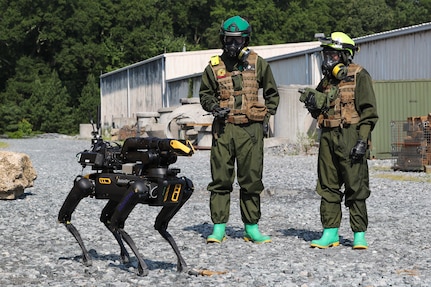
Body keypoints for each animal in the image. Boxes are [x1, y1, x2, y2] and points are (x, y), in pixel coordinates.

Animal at [58, 125, 196, 278]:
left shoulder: (184, 190)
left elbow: (160, 226)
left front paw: (181, 263)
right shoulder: (137, 189)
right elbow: (117, 224)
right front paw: (142, 266)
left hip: (117, 197)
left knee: (105, 217)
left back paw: (123, 255)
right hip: (91, 186)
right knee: (68, 211)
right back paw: (87, 256)